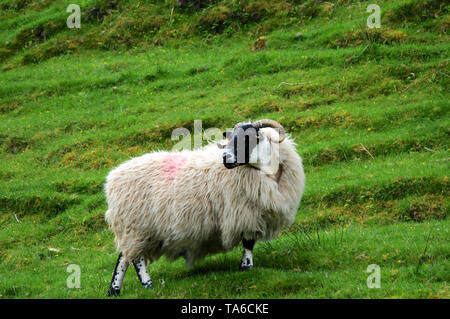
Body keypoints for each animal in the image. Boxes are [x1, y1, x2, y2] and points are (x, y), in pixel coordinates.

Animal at [103, 120, 304, 298]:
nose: (225, 158)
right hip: (136, 226)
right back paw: (147, 284)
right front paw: (246, 267)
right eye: (231, 138)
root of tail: (112, 179)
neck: (266, 171)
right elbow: (248, 242)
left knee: (124, 257)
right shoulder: (245, 212)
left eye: (249, 138)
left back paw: (114, 290)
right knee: (135, 259)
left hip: (137, 230)